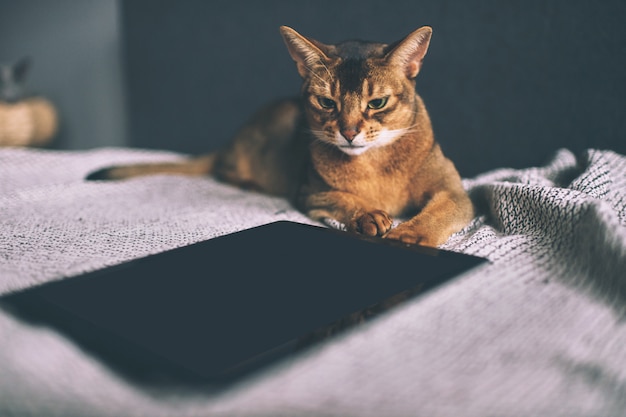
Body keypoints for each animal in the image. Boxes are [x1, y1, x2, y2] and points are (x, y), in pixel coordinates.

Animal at [85, 25, 470, 247]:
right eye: (326, 102)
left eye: (376, 103)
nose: (348, 132)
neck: (374, 164)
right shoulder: (311, 193)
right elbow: (344, 199)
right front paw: (369, 215)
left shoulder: (454, 191)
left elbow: (440, 211)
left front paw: (409, 235)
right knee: (224, 170)